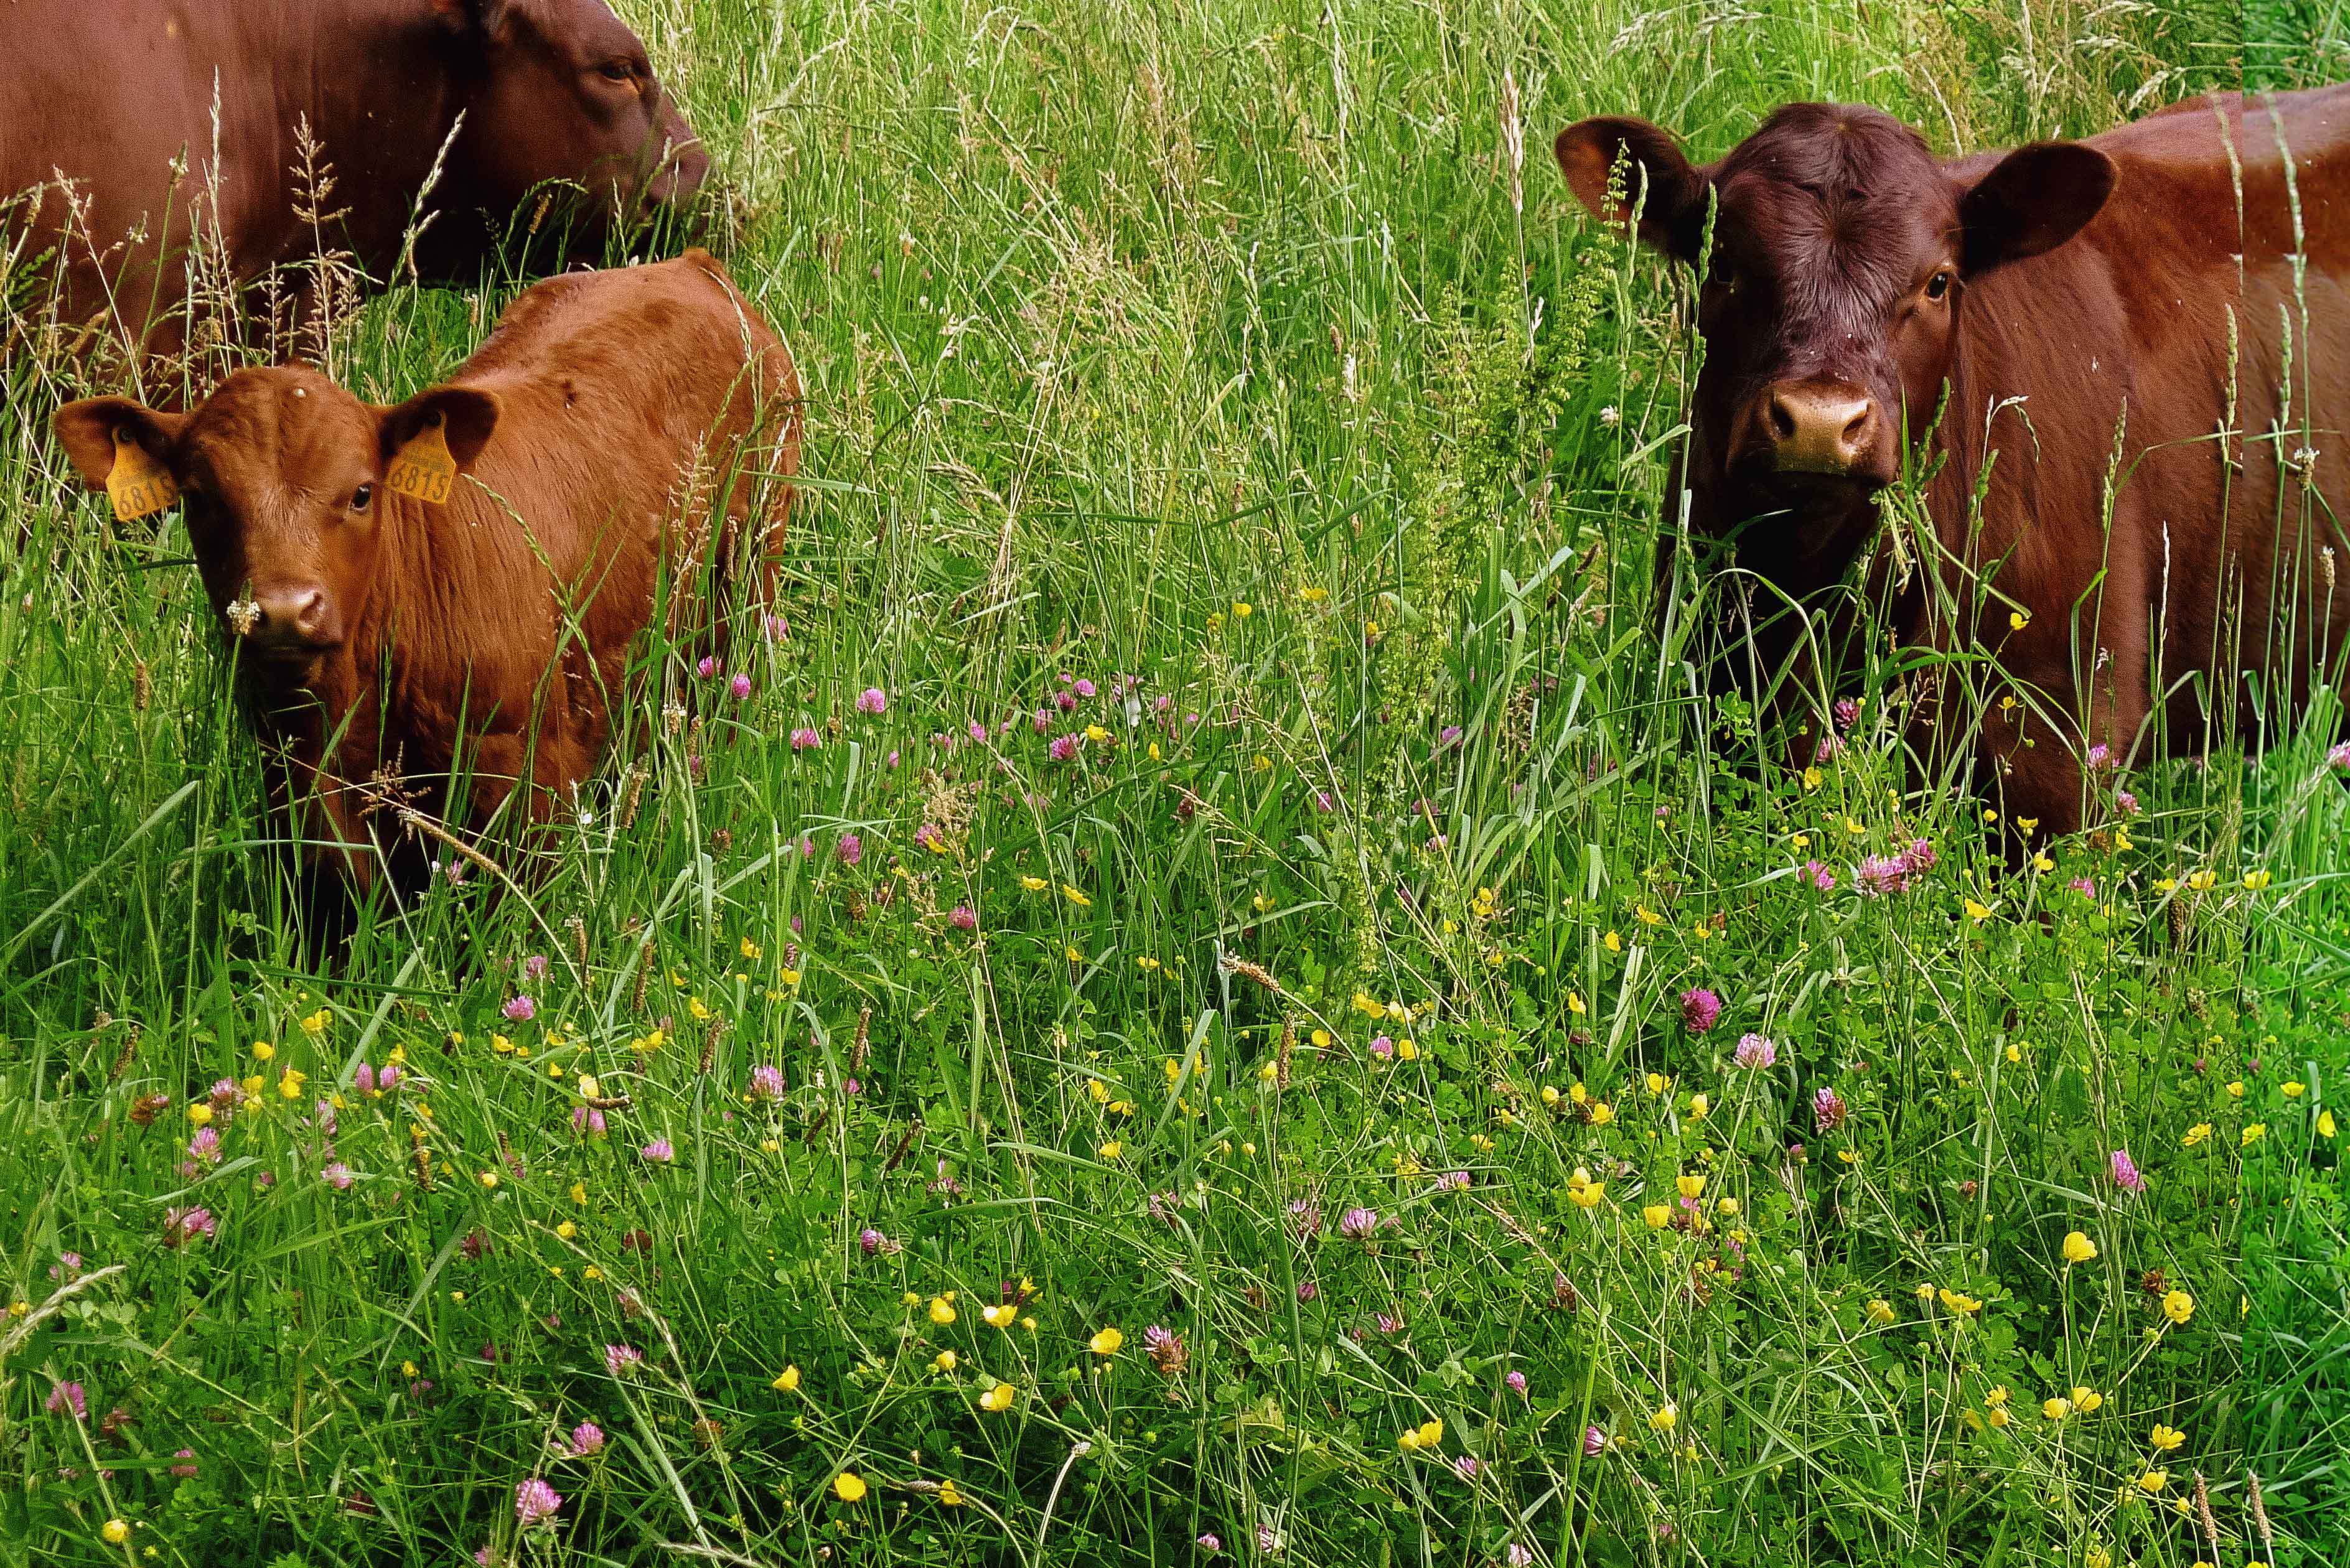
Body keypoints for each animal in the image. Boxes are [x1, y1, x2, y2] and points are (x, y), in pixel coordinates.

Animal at [45, 251, 794, 926]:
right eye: (200, 499)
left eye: (361, 492)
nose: (284, 611)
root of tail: (686, 265)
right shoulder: (296, 798)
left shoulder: (527, 783)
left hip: (743, 596)